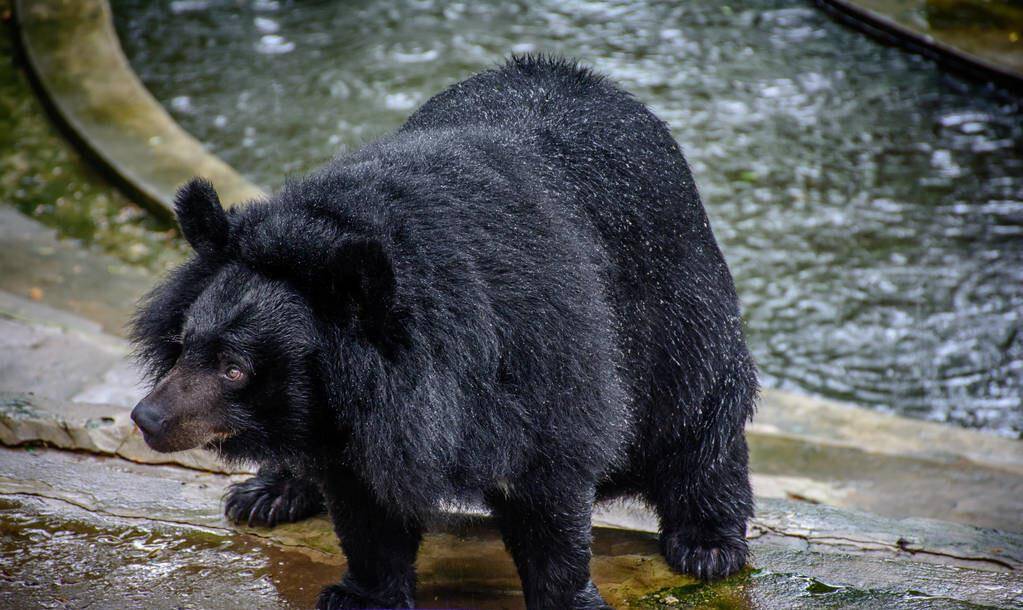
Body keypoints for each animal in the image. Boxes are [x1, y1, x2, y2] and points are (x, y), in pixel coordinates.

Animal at [131, 57, 757, 610]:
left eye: (234, 368)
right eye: (184, 344)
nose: (147, 418)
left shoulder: (538, 347)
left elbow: (551, 482)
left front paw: (568, 595)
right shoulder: (355, 419)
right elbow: (366, 507)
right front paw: (365, 595)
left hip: (676, 306)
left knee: (698, 417)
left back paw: (708, 545)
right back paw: (269, 492)